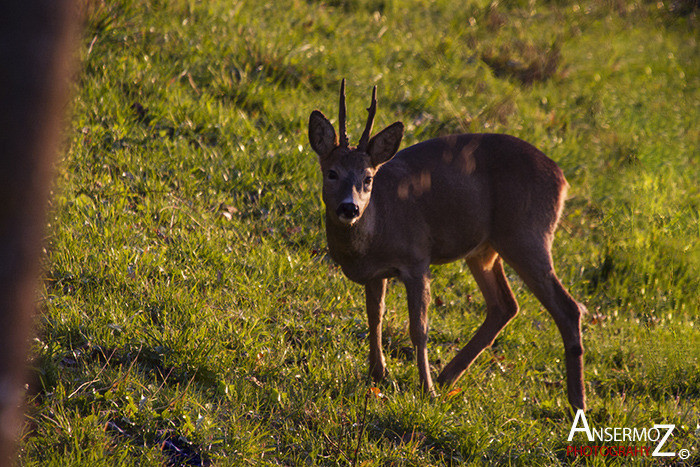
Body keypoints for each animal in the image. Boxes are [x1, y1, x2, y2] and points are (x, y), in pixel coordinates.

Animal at [308, 80, 588, 410]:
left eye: (367, 178)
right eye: (332, 173)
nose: (349, 208)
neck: (377, 228)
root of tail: (562, 178)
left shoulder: (417, 259)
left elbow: (419, 328)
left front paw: (424, 389)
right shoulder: (377, 273)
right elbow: (374, 317)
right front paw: (379, 375)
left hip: (528, 235)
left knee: (568, 308)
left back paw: (577, 402)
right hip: (485, 249)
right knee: (505, 305)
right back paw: (447, 378)